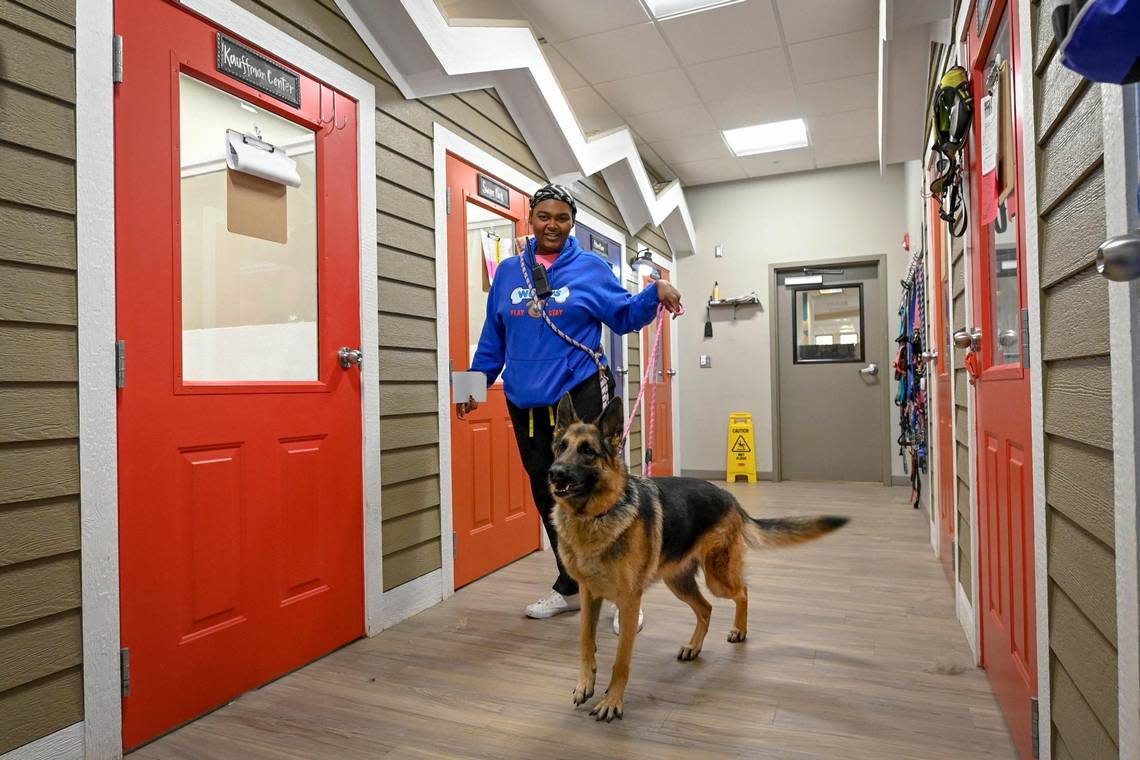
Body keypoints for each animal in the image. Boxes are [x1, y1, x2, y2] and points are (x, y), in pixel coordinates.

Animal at [547, 396, 852, 724]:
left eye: (588, 451)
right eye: (561, 447)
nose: (555, 473)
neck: (594, 517)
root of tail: (731, 499)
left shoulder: (629, 602)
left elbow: (621, 660)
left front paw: (612, 701)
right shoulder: (590, 594)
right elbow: (586, 642)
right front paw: (585, 684)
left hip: (717, 578)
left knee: (742, 592)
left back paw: (739, 630)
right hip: (678, 582)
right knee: (705, 608)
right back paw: (694, 646)